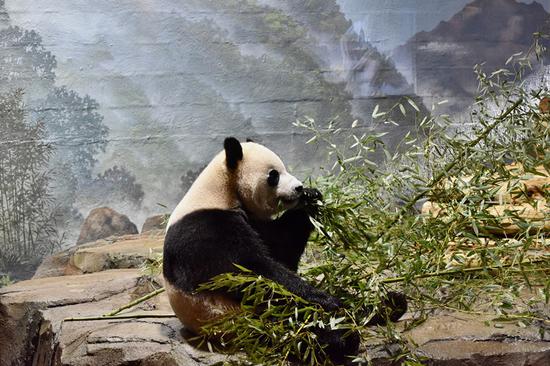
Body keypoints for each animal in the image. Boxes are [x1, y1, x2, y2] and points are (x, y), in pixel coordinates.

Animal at [162, 137, 408, 364]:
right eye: (274, 175)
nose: (298, 187)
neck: (222, 190)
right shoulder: (205, 228)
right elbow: (250, 272)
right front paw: (324, 300)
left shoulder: (255, 221)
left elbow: (283, 250)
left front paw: (311, 197)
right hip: (248, 321)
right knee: (298, 329)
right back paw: (341, 337)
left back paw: (389, 305)